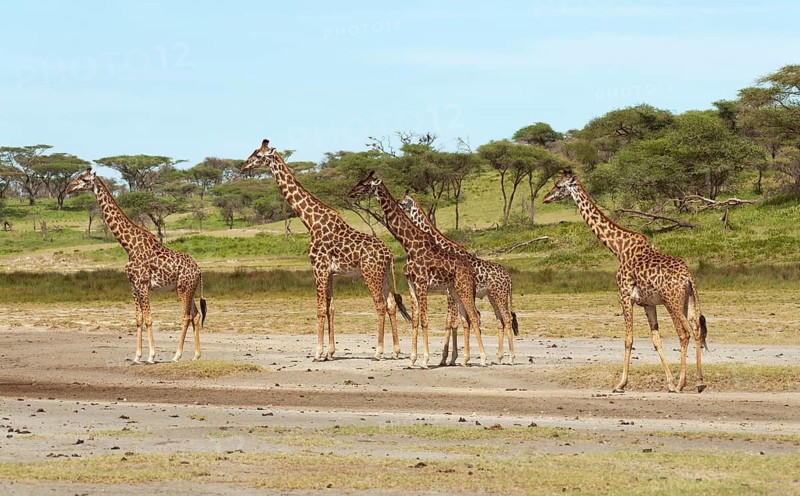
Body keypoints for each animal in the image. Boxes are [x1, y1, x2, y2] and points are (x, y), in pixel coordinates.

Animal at [66, 168, 207, 364]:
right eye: (77, 177)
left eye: (84, 180)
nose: (68, 188)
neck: (129, 246)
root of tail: (199, 270)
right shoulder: (132, 285)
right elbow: (138, 319)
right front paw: (137, 356)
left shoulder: (142, 284)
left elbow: (148, 318)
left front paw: (151, 356)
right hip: (189, 289)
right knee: (196, 315)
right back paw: (196, 355)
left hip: (183, 289)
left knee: (186, 316)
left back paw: (177, 355)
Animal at [242, 139, 410, 361]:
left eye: (259, 156)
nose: (243, 166)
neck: (311, 221)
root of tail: (389, 254)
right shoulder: (330, 272)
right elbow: (331, 308)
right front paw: (330, 352)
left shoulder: (318, 268)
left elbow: (321, 309)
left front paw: (318, 352)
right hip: (384, 276)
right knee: (391, 304)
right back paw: (396, 351)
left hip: (370, 273)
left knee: (380, 305)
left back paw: (378, 351)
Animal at [348, 171, 487, 368]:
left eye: (366, 184)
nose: (351, 193)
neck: (408, 244)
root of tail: (471, 268)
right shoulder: (411, 284)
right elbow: (415, 319)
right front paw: (412, 360)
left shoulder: (422, 282)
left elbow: (425, 319)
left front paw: (425, 360)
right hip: (454, 290)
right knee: (466, 318)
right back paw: (465, 360)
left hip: (464, 287)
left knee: (474, 316)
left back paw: (482, 359)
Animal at [398, 192, 518, 365]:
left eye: (404, 202)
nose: (398, 204)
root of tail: (509, 277)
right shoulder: (451, 292)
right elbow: (453, 321)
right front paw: (449, 358)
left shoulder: (450, 293)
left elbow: (453, 322)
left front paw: (450, 358)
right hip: (493, 296)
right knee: (500, 321)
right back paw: (499, 357)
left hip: (500, 295)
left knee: (507, 319)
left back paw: (511, 358)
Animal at [543, 170, 708, 393]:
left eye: (559, 186)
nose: (546, 197)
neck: (619, 249)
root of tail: (687, 277)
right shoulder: (647, 303)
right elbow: (656, 340)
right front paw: (669, 381)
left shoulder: (624, 295)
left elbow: (628, 339)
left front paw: (621, 383)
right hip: (688, 300)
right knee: (697, 330)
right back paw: (698, 381)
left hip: (672, 302)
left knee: (684, 333)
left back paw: (683, 383)